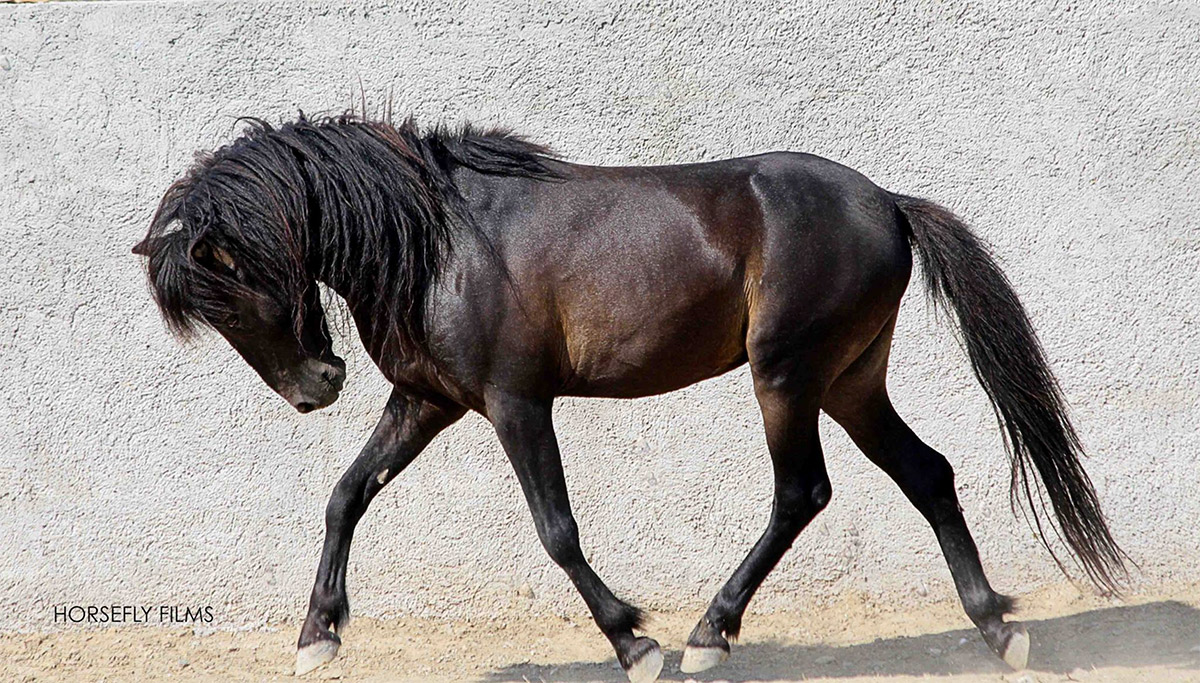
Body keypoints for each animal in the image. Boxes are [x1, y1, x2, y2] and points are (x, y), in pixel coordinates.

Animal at [136, 114, 1128, 676]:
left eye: (235, 287)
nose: (316, 387)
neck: (440, 240)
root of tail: (886, 199)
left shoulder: (515, 401)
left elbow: (556, 528)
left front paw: (634, 641)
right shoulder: (426, 401)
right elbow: (347, 494)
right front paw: (318, 635)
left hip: (787, 375)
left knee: (802, 491)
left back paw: (706, 635)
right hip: (852, 380)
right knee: (927, 473)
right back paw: (998, 629)